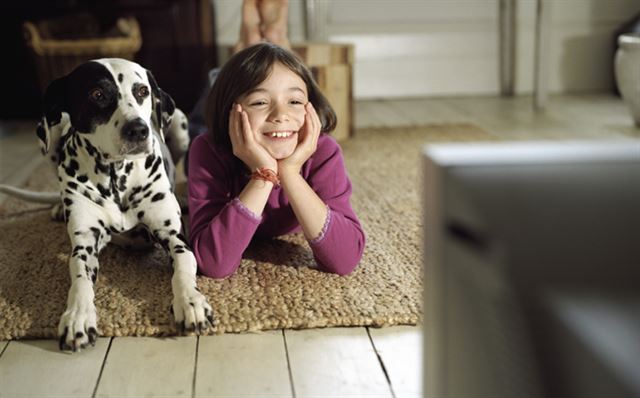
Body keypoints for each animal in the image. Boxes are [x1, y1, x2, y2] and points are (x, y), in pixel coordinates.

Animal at [0, 59, 215, 352]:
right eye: (97, 94)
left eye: (142, 91)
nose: (138, 130)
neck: (116, 178)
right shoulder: (84, 246)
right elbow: (80, 281)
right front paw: (77, 317)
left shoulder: (174, 237)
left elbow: (183, 267)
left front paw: (191, 302)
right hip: (51, 133)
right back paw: (58, 207)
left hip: (179, 123)